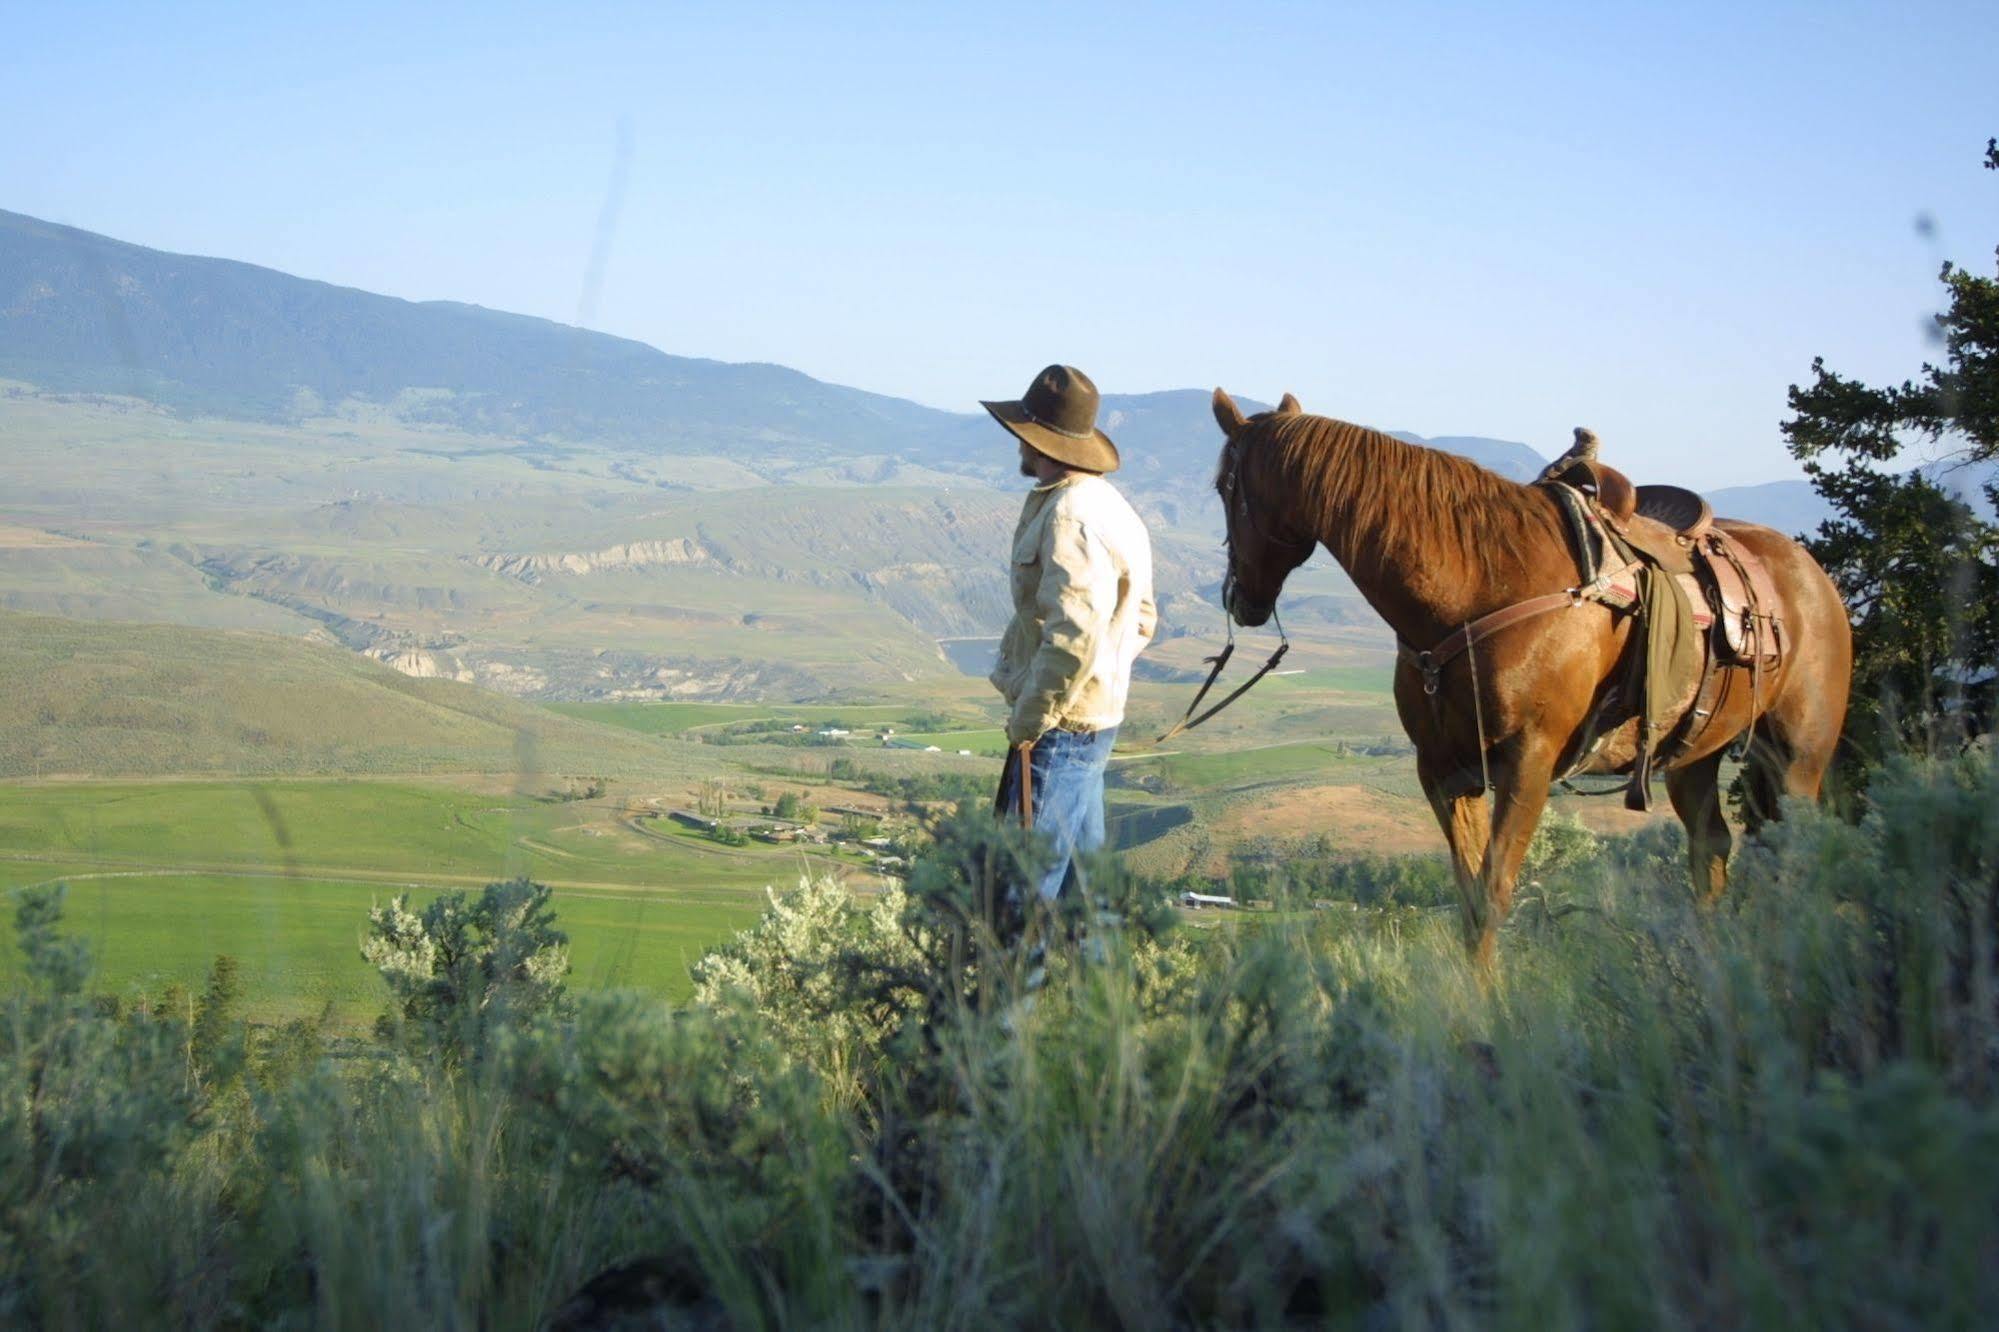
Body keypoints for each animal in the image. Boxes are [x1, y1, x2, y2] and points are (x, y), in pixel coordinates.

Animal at [1207, 390, 1847, 960]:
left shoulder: (1529, 760)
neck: (1475, 586)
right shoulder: (1444, 769)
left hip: (1799, 759)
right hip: (1694, 756)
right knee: (1710, 850)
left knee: (1797, 850)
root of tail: (1811, 574)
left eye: (1221, 487)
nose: (1236, 597)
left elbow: (1493, 893)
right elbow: (1469, 898)